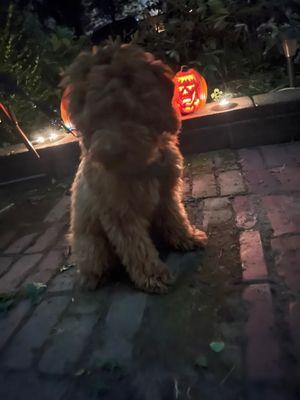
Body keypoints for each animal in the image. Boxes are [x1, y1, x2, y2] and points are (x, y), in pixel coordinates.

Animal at [62, 43, 207, 294]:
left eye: (127, 109)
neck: (140, 165)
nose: (110, 152)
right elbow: (136, 246)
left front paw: (187, 237)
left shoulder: (166, 194)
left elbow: (175, 217)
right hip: (92, 245)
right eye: (95, 118)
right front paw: (152, 275)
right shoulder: (120, 212)